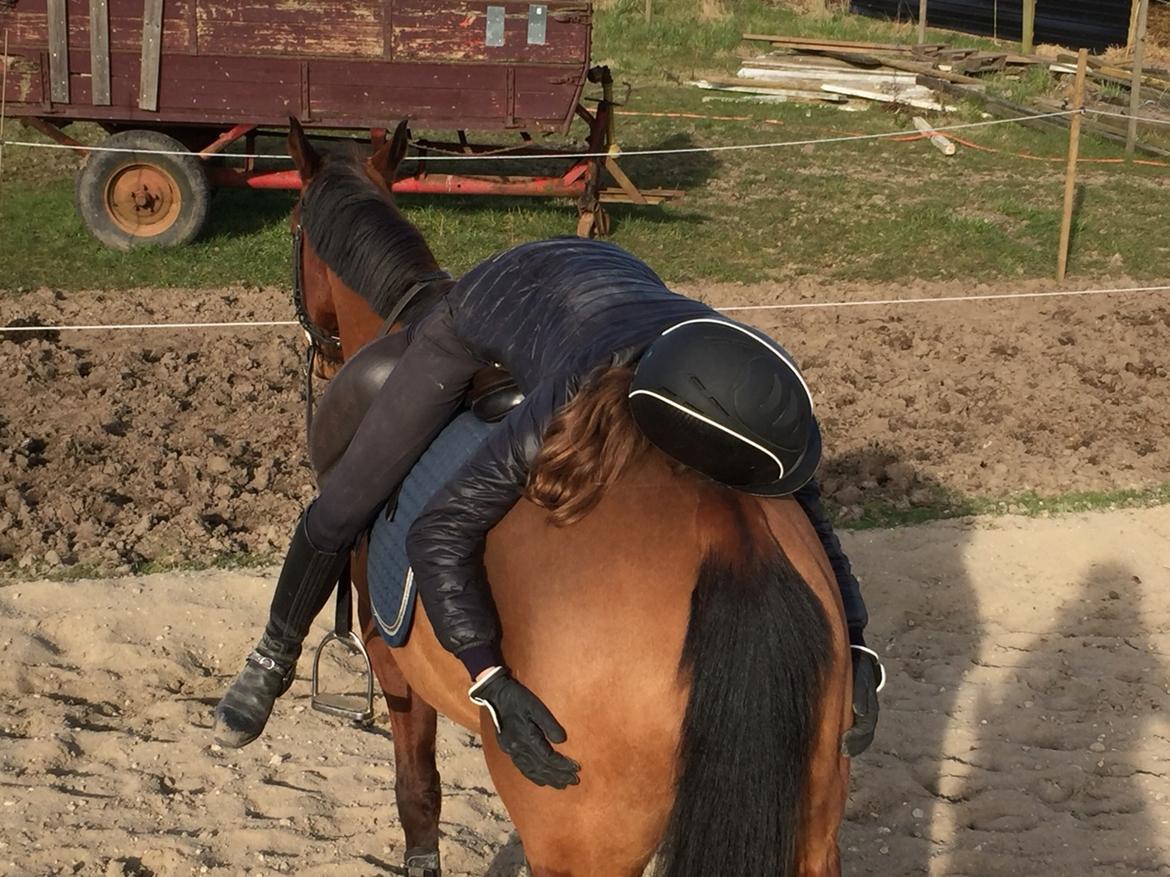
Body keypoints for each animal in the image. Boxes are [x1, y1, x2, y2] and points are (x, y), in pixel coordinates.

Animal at [284, 117, 854, 877]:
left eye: (294, 227)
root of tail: (726, 529)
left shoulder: (394, 666)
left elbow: (418, 796)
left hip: (580, 841)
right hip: (814, 831)